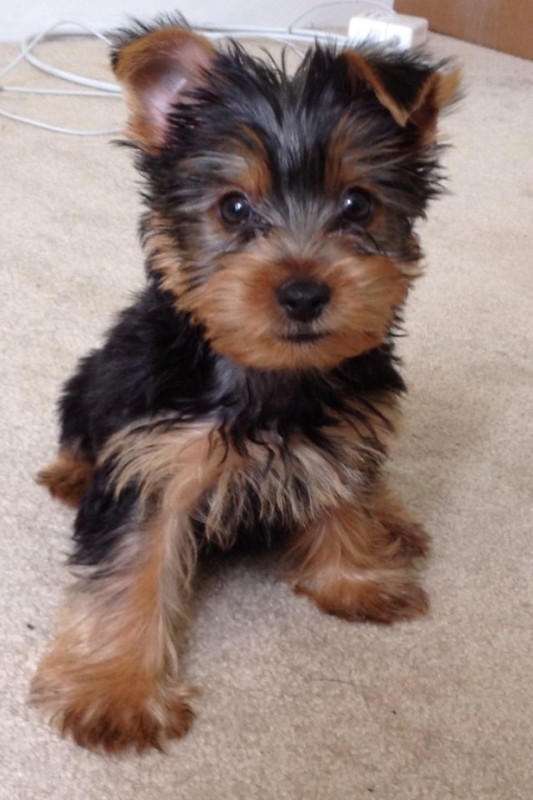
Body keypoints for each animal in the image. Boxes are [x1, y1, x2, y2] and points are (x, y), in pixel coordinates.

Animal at [31, 17, 460, 756]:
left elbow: (344, 491)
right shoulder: (152, 456)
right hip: (93, 380)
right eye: (233, 208)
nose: (303, 292)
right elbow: (133, 564)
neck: (268, 376)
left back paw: (392, 521)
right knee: (80, 429)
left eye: (358, 205)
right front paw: (115, 689)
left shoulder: (344, 427)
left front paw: (356, 574)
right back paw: (69, 472)